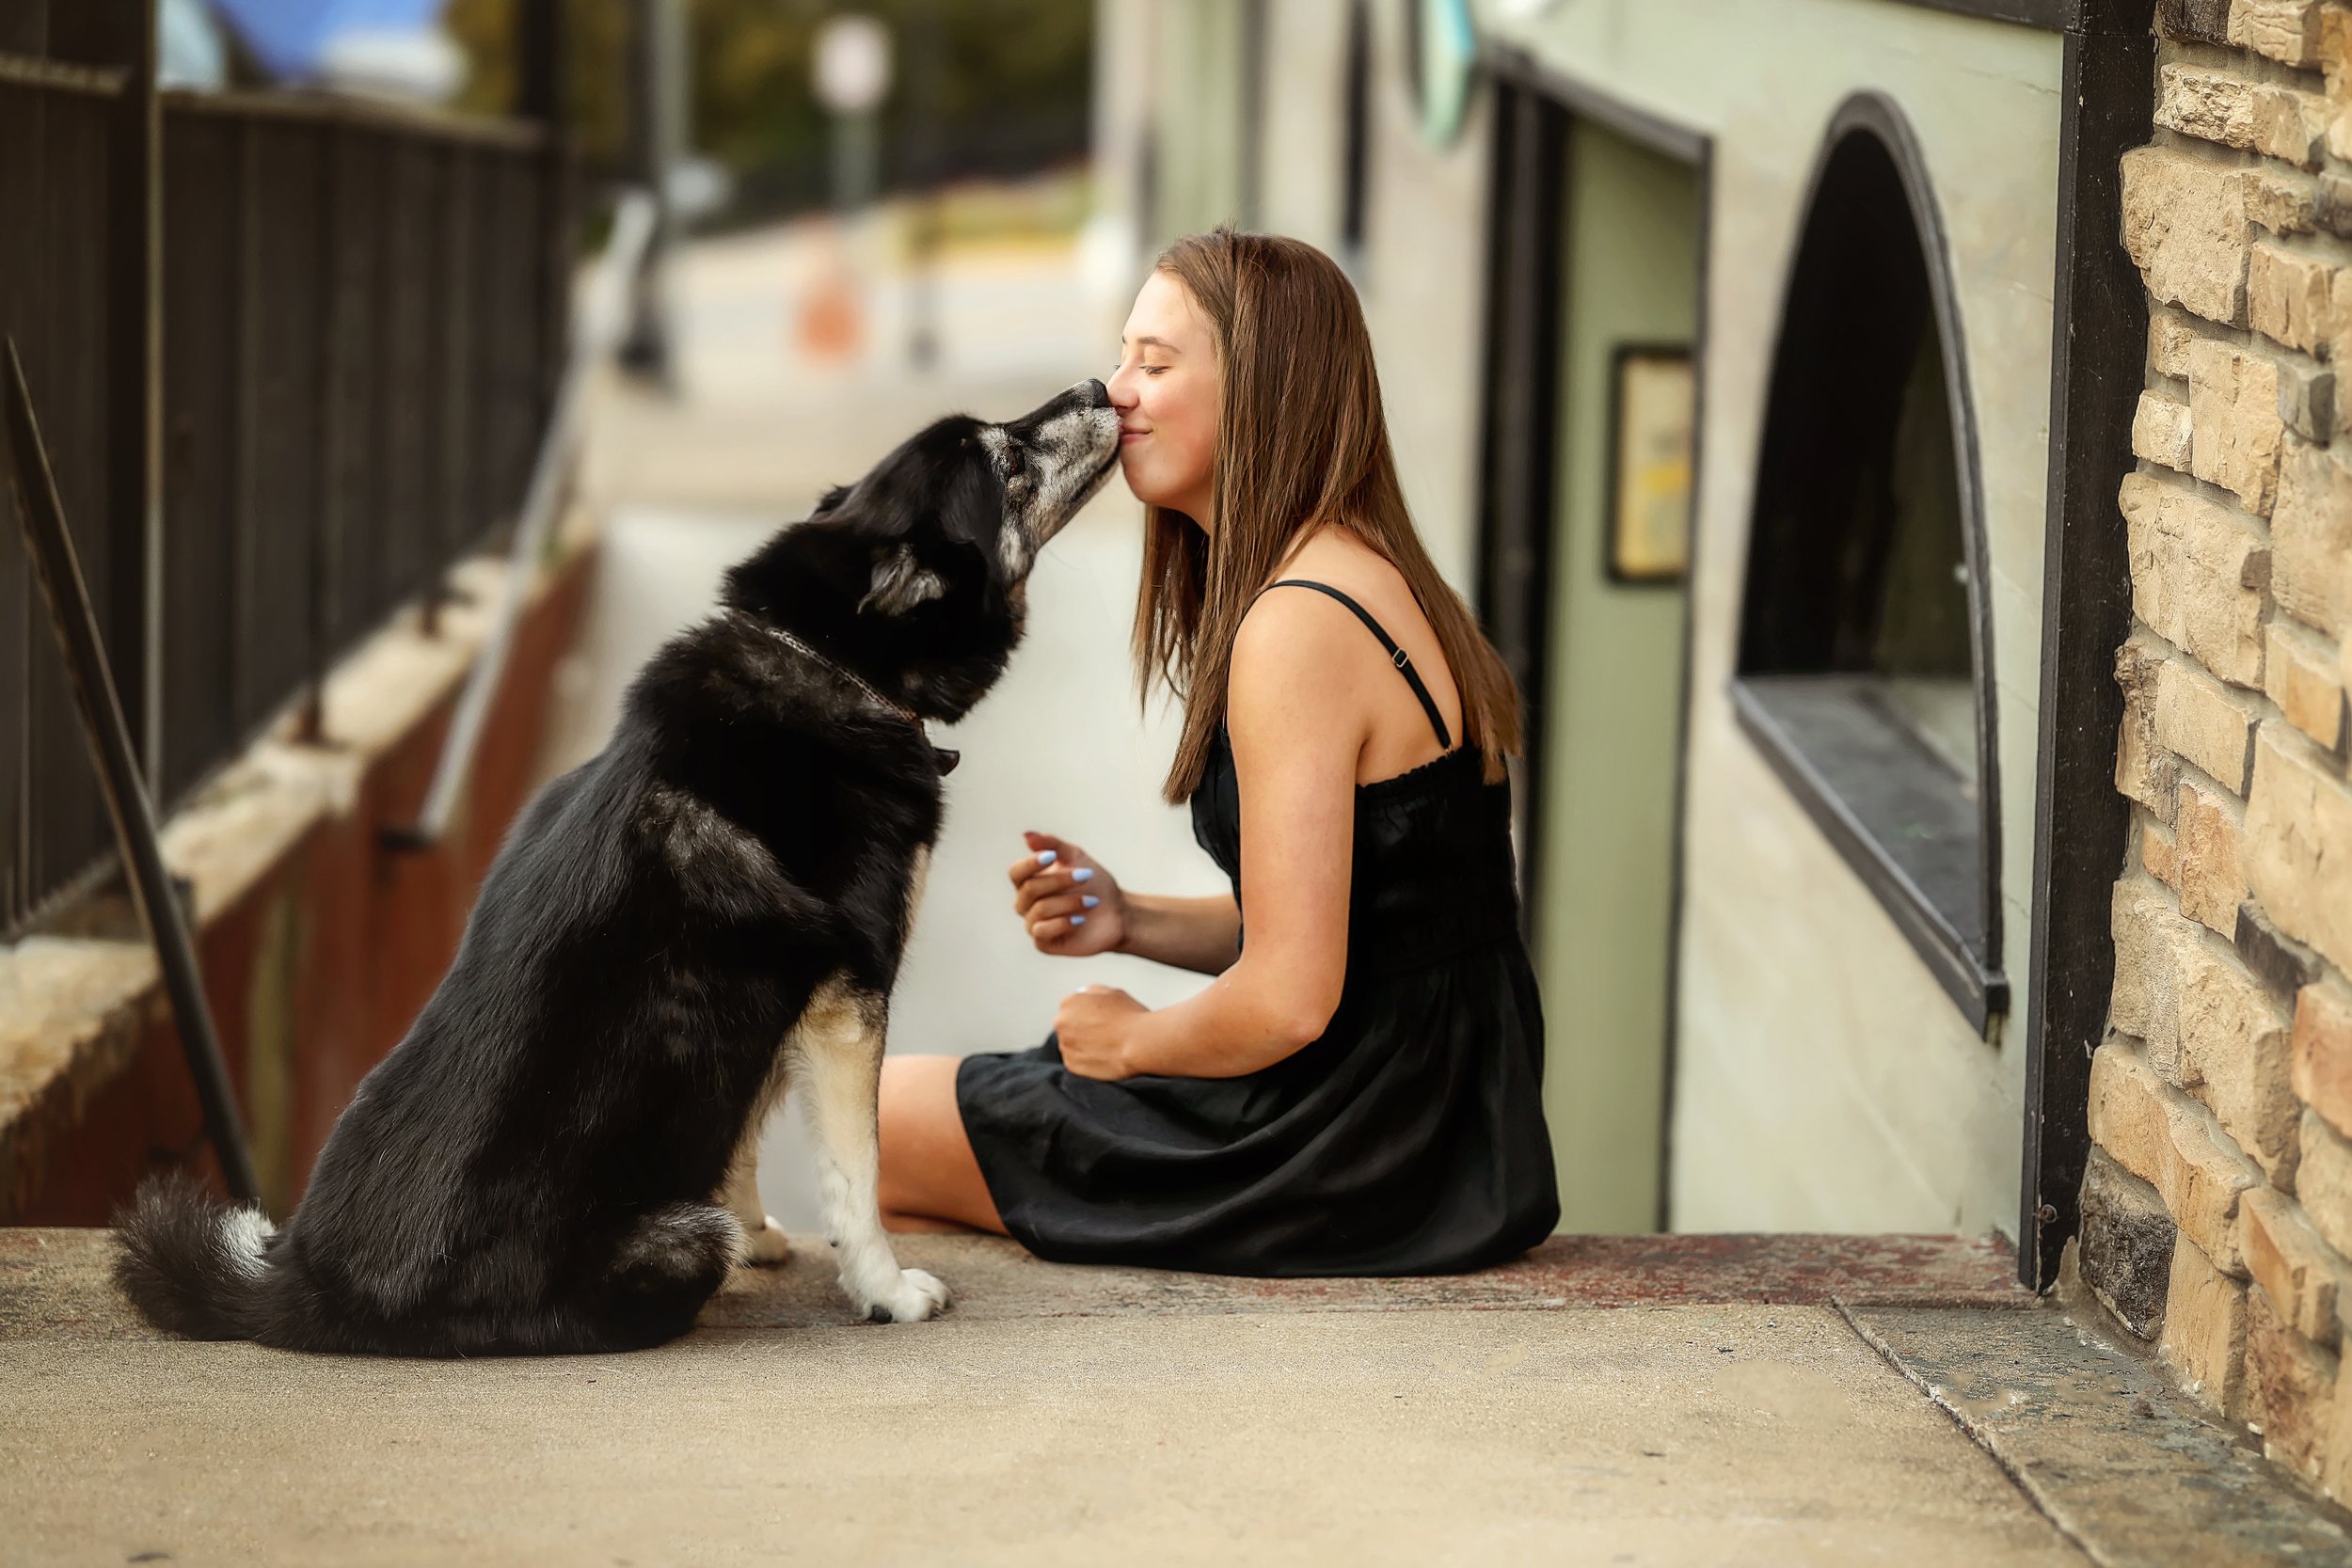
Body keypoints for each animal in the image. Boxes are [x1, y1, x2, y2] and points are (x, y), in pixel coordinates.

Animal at [114, 375, 1124, 1354]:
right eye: (1006, 460)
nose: (1101, 383)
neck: (831, 662)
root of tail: (306, 1291)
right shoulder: (849, 998)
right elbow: (855, 1170)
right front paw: (883, 1290)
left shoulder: (770, 998)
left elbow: (741, 1123)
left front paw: (762, 1231)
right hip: (674, 1242)